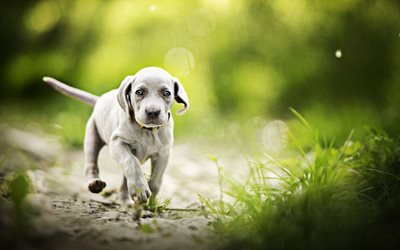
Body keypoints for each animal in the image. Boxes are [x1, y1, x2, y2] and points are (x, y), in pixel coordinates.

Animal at [42, 67, 189, 203]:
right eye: (139, 92)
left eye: (166, 93)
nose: (153, 111)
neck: (147, 131)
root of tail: (99, 99)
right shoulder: (118, 143)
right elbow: (132, 162)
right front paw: (140, 189)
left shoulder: (163, 154)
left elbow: (156, 180)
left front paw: (149, 201)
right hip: (92, 137)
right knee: (91, 164)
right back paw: (94, 183)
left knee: (125, 179)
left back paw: (125, 199)